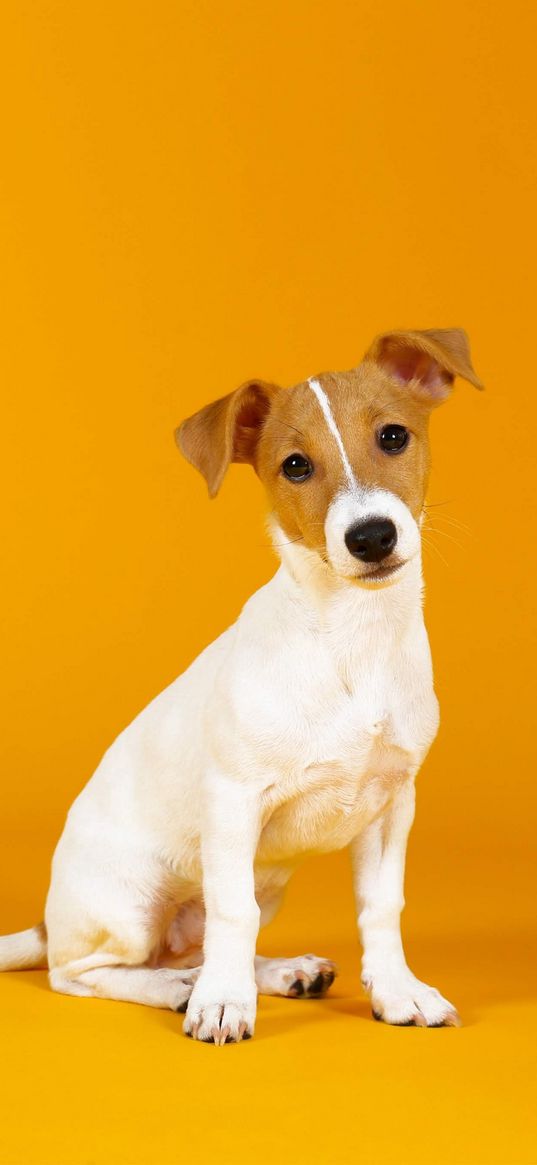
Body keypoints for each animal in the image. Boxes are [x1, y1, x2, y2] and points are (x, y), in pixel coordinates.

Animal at [0, 328, 482, 1048]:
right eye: (295, 466)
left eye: (393, 436)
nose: (370, 536)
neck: (351, 635)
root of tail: (49, 918)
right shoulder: (232, 801)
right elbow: (231, 911)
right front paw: (223, 1005)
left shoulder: (391, 805)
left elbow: (380, 906)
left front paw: (397, 992)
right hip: (131, 903)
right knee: (87, 972)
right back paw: (180, 987)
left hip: (261, 882)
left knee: (201, 945)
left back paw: (276, 972)